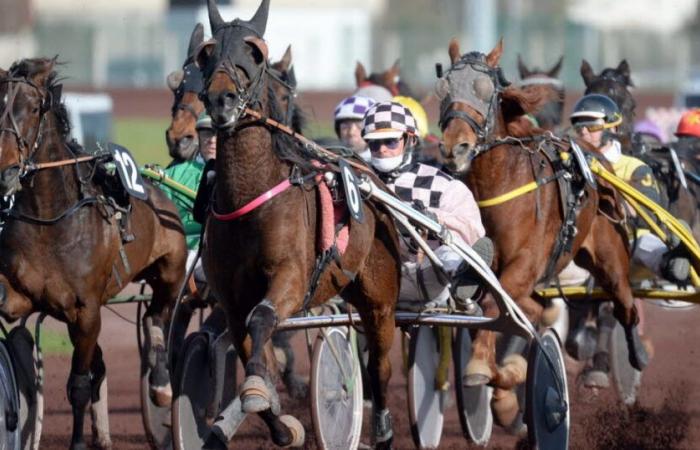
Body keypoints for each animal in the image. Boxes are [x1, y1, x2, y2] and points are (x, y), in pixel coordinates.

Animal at [0, 57, 187, 450]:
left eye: (33, 109)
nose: (5, 170)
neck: (50, 219)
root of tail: (158, 190)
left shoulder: (85, 311)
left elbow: (79, 385)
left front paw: (77, 443)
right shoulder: (22, 295)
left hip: (171, 269)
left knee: (157, 317)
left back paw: (161, 386)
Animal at [197, 1, 402, 448]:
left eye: (254, 52)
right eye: (206, 53)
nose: (221, 99)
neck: (248, 200)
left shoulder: (290, 277)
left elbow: (262, 318)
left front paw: (258, 392)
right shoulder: (230, 300)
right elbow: (251, 348)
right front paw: (277, 419)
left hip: (380, 298)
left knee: (380, 364)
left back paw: (382, 428)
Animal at [438, 39, 652, 414]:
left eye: (485, 91)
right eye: (445, 88)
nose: (455, 148)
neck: (501, 183)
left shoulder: (526, 261)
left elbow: (495, 306)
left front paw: (484, 368)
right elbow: (495, 312)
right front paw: (503, 385)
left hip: (610, 257)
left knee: (623, 305)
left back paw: (634, 355)